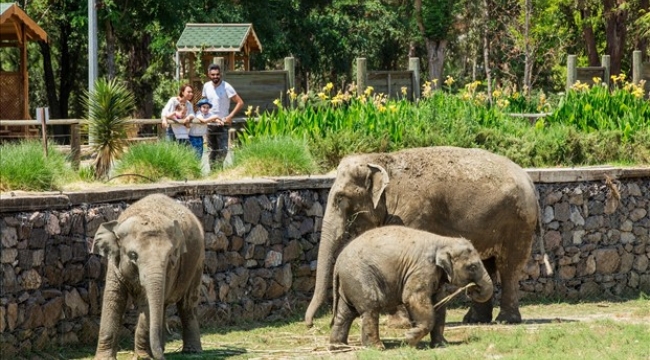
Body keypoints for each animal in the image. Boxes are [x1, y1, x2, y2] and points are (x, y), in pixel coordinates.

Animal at [92, 194, 204, 360]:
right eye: (133, 255)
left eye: (170, 256)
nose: (162, 358)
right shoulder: (114, 265)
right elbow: (113, 298)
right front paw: (104, 358)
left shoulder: (170, 270)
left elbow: (146, 304)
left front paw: (143, 357)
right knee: (163, 305)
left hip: (197, 263)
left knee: (187, 304)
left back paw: (191, 351)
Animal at [304, 146, 548, 326]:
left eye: (340, 199)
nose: (313, 324)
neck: (380, 159)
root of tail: (529, 180)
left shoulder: (412, 213)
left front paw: (400, 325)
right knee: (487, 264)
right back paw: (475, 320)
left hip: (518, 220)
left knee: (509, 266)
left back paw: (506, 321)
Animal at [330, 226, 492, 350]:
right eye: (472, 267)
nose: (472, 289)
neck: (444, 240)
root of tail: (337, 263)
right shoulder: (423, 268)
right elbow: (413, 298)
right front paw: (408, 339)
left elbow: (439, 304)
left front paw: (441, 345)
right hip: (359, 276)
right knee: (371, 307)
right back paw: (377, 347)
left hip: (349, 281)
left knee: (345, 312)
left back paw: (339, 346)